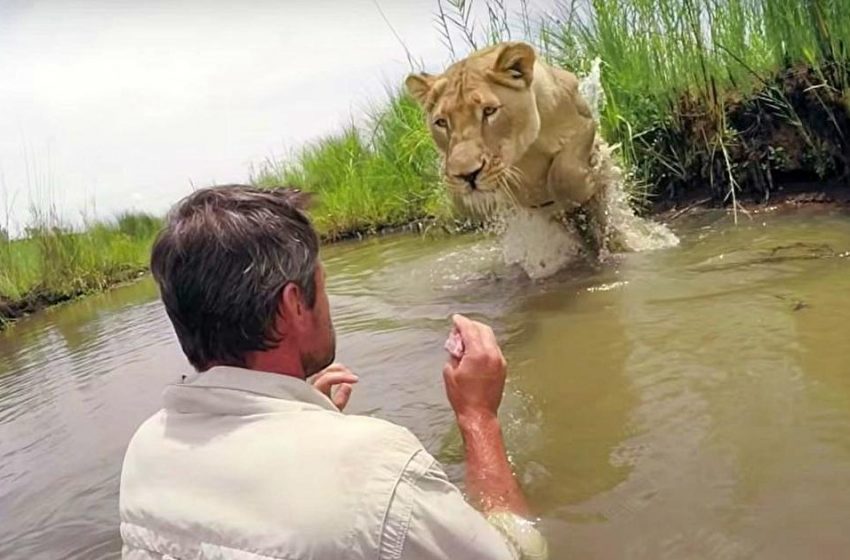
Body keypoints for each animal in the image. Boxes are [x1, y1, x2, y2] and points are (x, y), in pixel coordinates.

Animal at [404, 40, 596, 217]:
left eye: (489, 110)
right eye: (442, 122)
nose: (467, 176)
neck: (526, 155)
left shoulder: (585, 123)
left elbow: (564, 172)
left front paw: (584, 189)